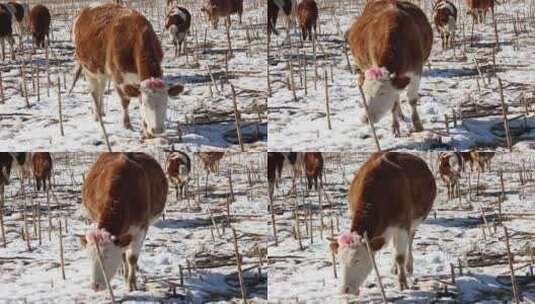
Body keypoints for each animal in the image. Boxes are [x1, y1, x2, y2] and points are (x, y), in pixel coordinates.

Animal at [71, 2, 184, 138]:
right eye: (144, 103)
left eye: (166, 102)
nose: (157, 130)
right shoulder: (118, 77)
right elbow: (125, 101)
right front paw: (127, 124)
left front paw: (145, 129)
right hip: (88, 69)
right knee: (95, 90)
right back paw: (97, 114)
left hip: (102, 71)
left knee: (101, 89)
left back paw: (101, 111)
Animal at [77, 153, 168, 290]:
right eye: (89, 257)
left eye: (107, 257)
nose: (95, 286)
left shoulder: (141, 228)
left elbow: (132, 258)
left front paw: (132, 284)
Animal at [328, 152, 438, 294]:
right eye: (340, 261)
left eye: (357, 260)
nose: (345, 290)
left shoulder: (402, 225)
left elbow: (400, 256)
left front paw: (402, 284)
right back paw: (394, 268)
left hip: (414, 222)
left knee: (409, 241)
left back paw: (408, 266)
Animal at [350, 0, 434, 135]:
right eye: (365, 92)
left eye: (382, 93)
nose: (365, 119)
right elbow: (393, 103)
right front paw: (395, 126)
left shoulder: (416, 71)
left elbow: (412, 100)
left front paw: (417, 125)